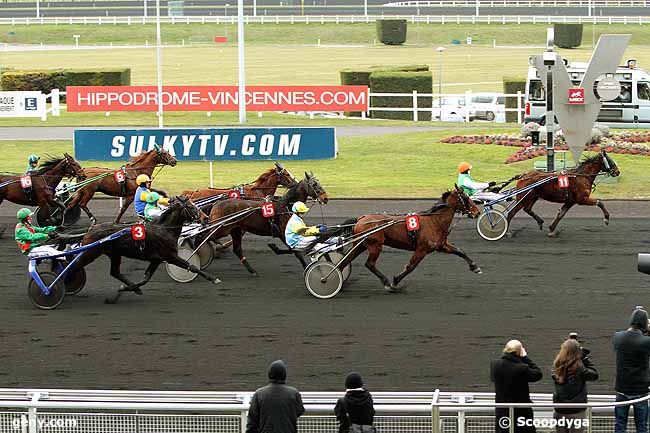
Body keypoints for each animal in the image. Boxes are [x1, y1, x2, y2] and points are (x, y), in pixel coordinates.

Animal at [66, 196, 220, 304]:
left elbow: (145, 279)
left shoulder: (157, 259)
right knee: (74, 266)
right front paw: (214, 279)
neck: (164, 230)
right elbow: (192, 266)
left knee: (115, 272)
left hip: (114, 254)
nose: (206, 218)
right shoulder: (170, 256)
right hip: (90, 253)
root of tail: (90, 229)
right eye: (190, 206)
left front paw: (126, 289)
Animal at [336, 187, 478, 292]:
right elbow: (411, 266)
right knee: (369, 264)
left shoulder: (441, 245)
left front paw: (475, 267)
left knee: (345, 260)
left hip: (361, 244)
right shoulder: (421, 249)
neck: (434, 221)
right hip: (375, 245)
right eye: (466, 197)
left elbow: (459, 251)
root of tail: (361, 219)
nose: (477, 212)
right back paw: (386, 282)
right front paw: (395, 281)